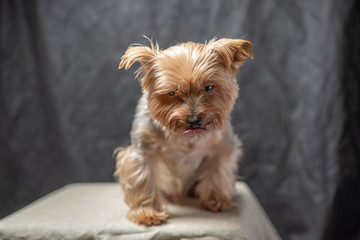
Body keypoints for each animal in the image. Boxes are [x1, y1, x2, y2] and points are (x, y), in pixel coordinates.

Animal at [115, 37, 253, 225]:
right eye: (172, 93)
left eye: (209, 88)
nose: (194, 121)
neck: (184, 137)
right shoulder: (141, 152)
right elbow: (143, 179)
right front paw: (148, 213)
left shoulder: (223, 147)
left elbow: (218, 172)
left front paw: (216, 201)